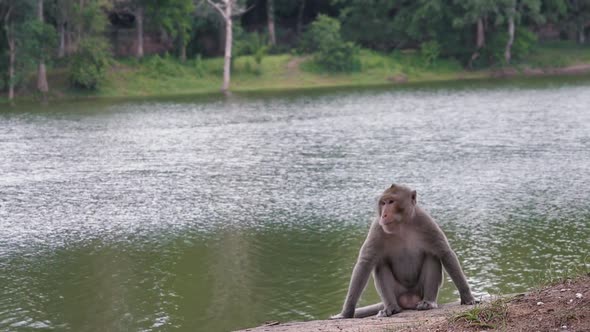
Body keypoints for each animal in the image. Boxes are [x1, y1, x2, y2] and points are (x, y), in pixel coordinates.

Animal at [332, 184, 476, 320]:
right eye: (383, 203)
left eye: (391, 201)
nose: (384, 214)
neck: (402, 226)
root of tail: (408, 300)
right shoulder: (377, 227)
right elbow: (365, 263)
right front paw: (346, 313)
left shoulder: (425, 221)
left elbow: (445, 253)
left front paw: (467, 297)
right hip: (398, 293)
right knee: (380, 264)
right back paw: (391, 308)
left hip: (419, 291)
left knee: (432, 257)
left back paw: (428, 302)